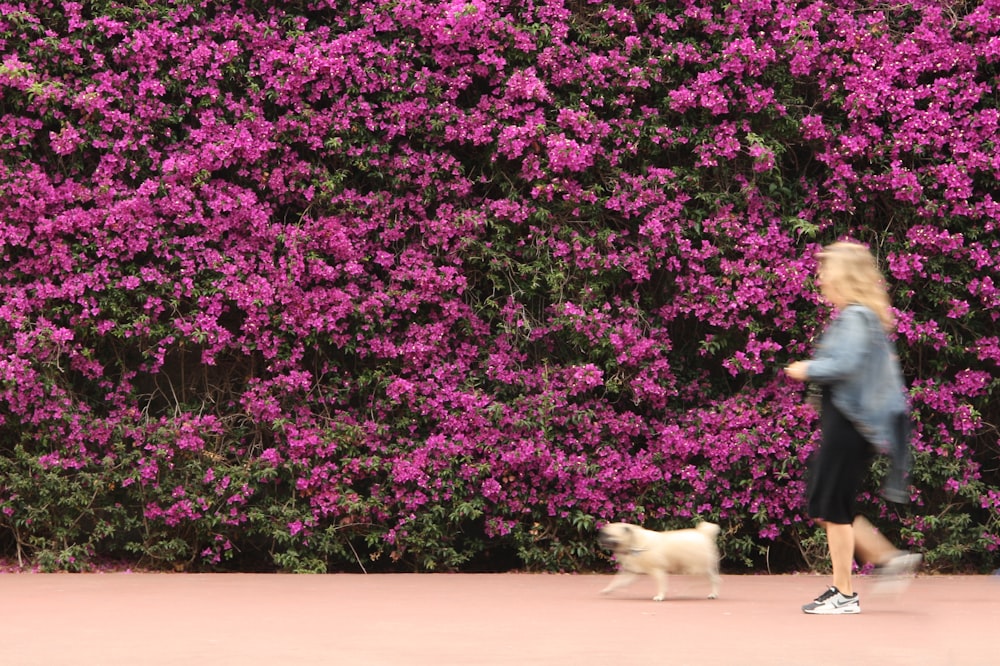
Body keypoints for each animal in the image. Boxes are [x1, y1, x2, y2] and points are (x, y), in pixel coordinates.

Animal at [596, 520, 724, 600]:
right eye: (604, 533)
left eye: (608, 535)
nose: (600, 537)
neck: (634, 542)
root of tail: (703, 533)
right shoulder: (630, 573)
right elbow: (617, 582)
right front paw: (607, 589)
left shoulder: (657, 571)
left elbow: (661, 585)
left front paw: (660, 596)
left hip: (697, 568)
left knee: (712, 580)